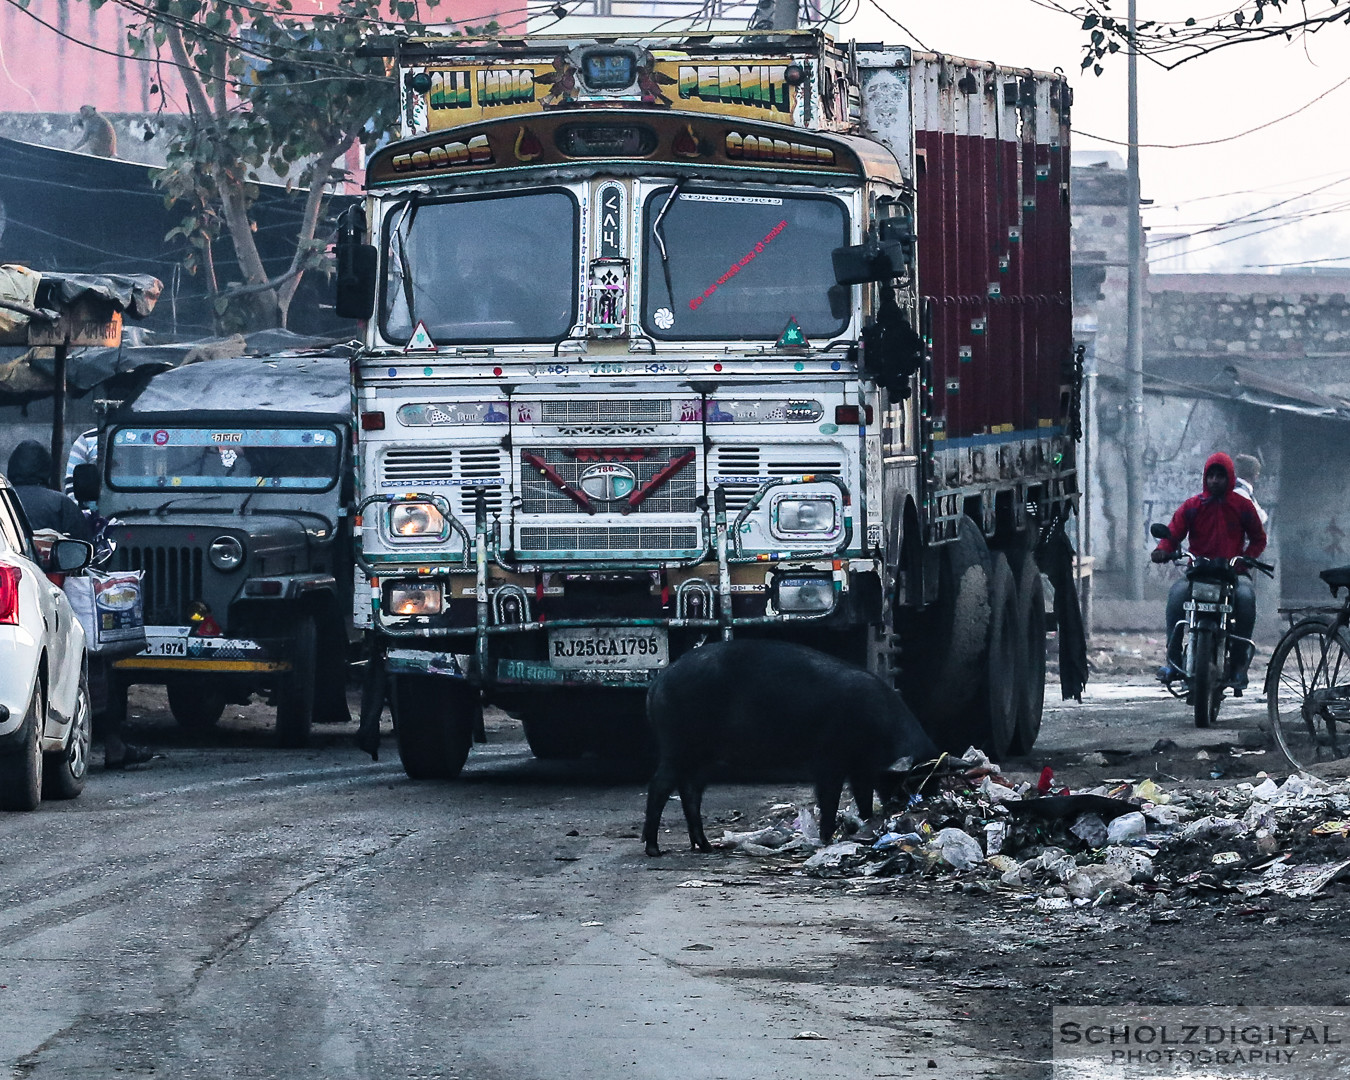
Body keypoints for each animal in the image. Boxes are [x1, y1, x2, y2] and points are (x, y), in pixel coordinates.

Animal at [642, 642, 939, 858]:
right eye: (913, 779)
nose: (927, 806)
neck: (880, 728)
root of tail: (657, 684)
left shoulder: (861, 770)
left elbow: (864, 800)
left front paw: (866, 826)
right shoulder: (828, 762)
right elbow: (829, 800)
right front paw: (827, 839)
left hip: (701, 758)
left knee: (690, 792)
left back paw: (705, 847)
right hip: (677, 746)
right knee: (659, 786)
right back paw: (654, 850)